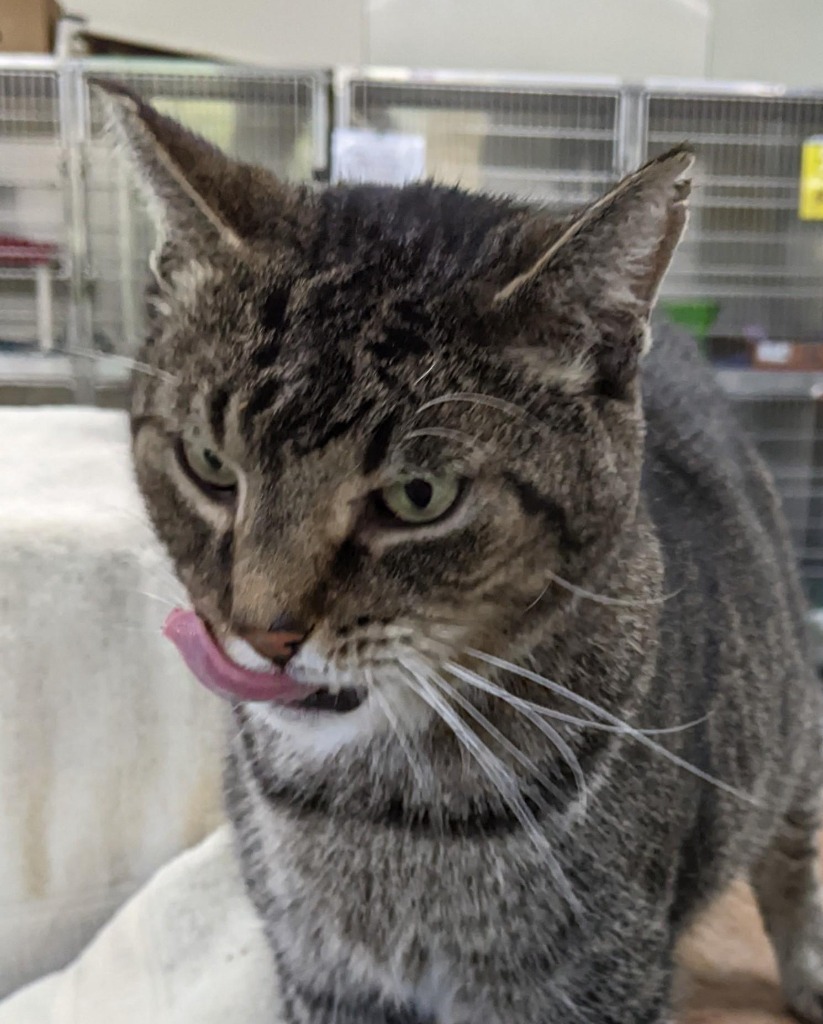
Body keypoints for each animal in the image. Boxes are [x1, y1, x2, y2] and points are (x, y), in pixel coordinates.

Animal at [99, 81, 823, 1024]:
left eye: (420, 496)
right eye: (210, 466)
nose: (261, 630)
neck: (374, 811)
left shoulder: (596, 981)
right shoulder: (321, 975)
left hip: (793, 730)